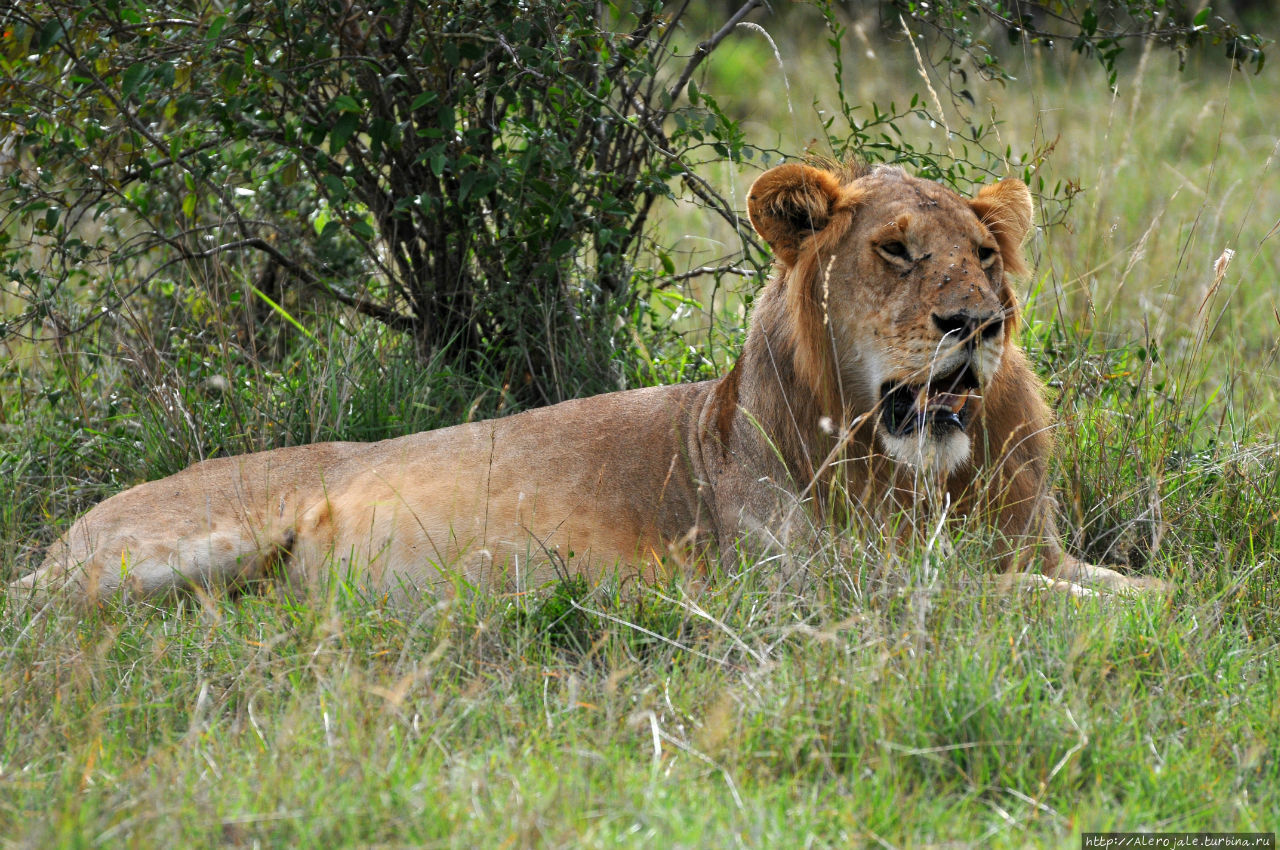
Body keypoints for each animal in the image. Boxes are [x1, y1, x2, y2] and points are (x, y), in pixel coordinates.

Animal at [10, 161, 1162, 604]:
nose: (979, 323)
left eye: (984, 253)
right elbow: (1003, 599)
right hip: (155, 551)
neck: (918, 476)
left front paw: (1163, 610)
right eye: (893, 251)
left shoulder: (1033, 542)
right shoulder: (818, 591)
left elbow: (1124, 587)